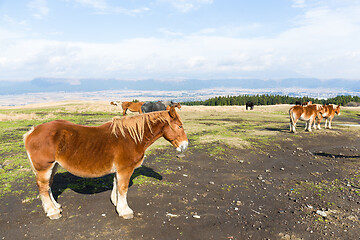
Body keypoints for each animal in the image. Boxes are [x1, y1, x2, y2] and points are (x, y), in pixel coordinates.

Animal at [23, 106, 188, 219]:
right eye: (180, 126)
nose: (185, 145)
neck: (130, 137)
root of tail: (32, 132)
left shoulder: (119, 170)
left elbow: (116, 186)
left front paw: (116, 204)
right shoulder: (125, 169)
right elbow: (123, 188)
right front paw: (125, 211)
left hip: (54, 166)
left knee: (48, 186)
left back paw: (55, 207)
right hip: (44, 167)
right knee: (43, 188)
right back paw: (52, 212)